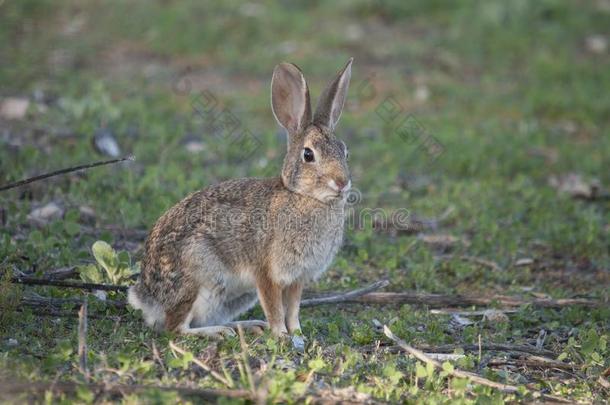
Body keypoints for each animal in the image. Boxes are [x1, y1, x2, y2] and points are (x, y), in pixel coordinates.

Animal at [128, 58, 352, 336]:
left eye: (345, 152)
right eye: (308, 155)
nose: (342, 182)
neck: (304, 197)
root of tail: (147, 297)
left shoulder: (297, 278)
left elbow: (293, 308)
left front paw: (298, 333)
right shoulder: (266, 272)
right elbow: (275, 308)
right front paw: (281, 335)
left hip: (232, 297)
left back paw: (245, 325)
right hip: (197, 278)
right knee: (176, 327)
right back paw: (219, 332)